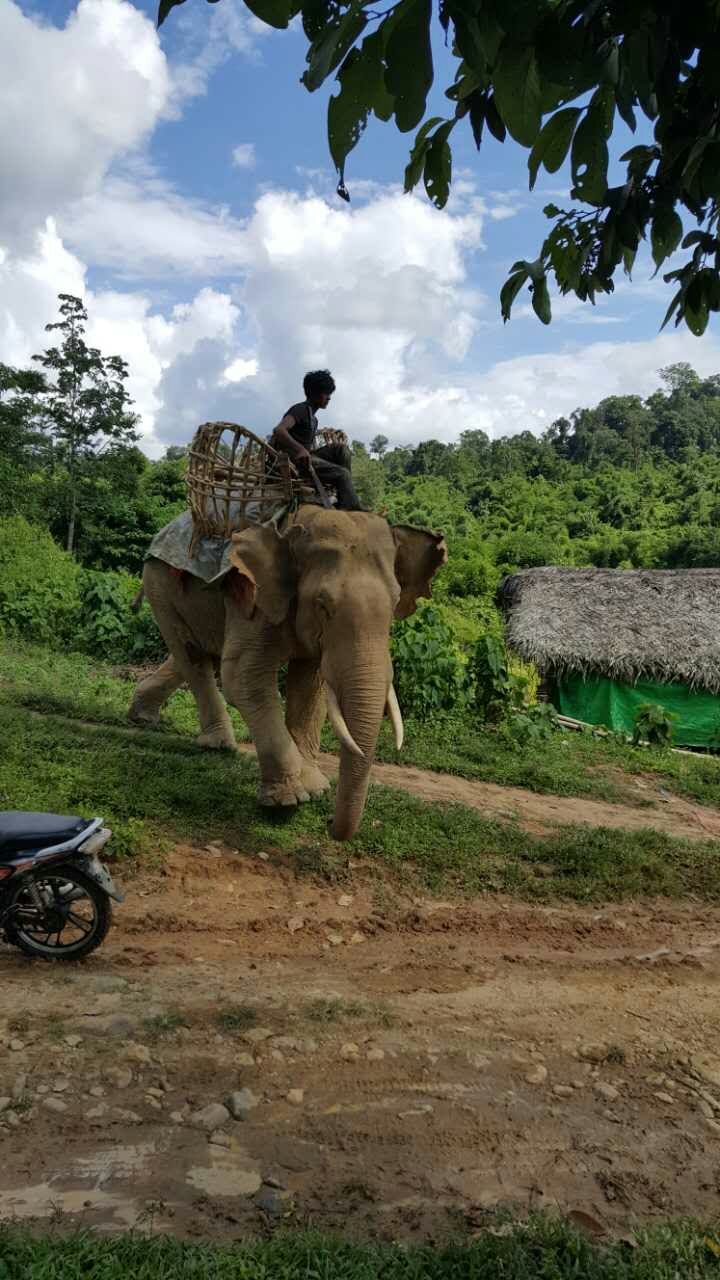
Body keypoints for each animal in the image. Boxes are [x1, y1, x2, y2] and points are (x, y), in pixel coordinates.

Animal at [126, 504, 445, 844]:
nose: (328, 823)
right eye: (323, 605)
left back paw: (142, 717)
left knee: (194, 654)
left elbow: (311, 685)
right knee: (194, 658)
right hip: (160, 584)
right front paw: (289, 801)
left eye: (396, 602)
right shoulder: (254, 596)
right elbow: (242, 677)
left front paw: (315, 789)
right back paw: (217, 745)